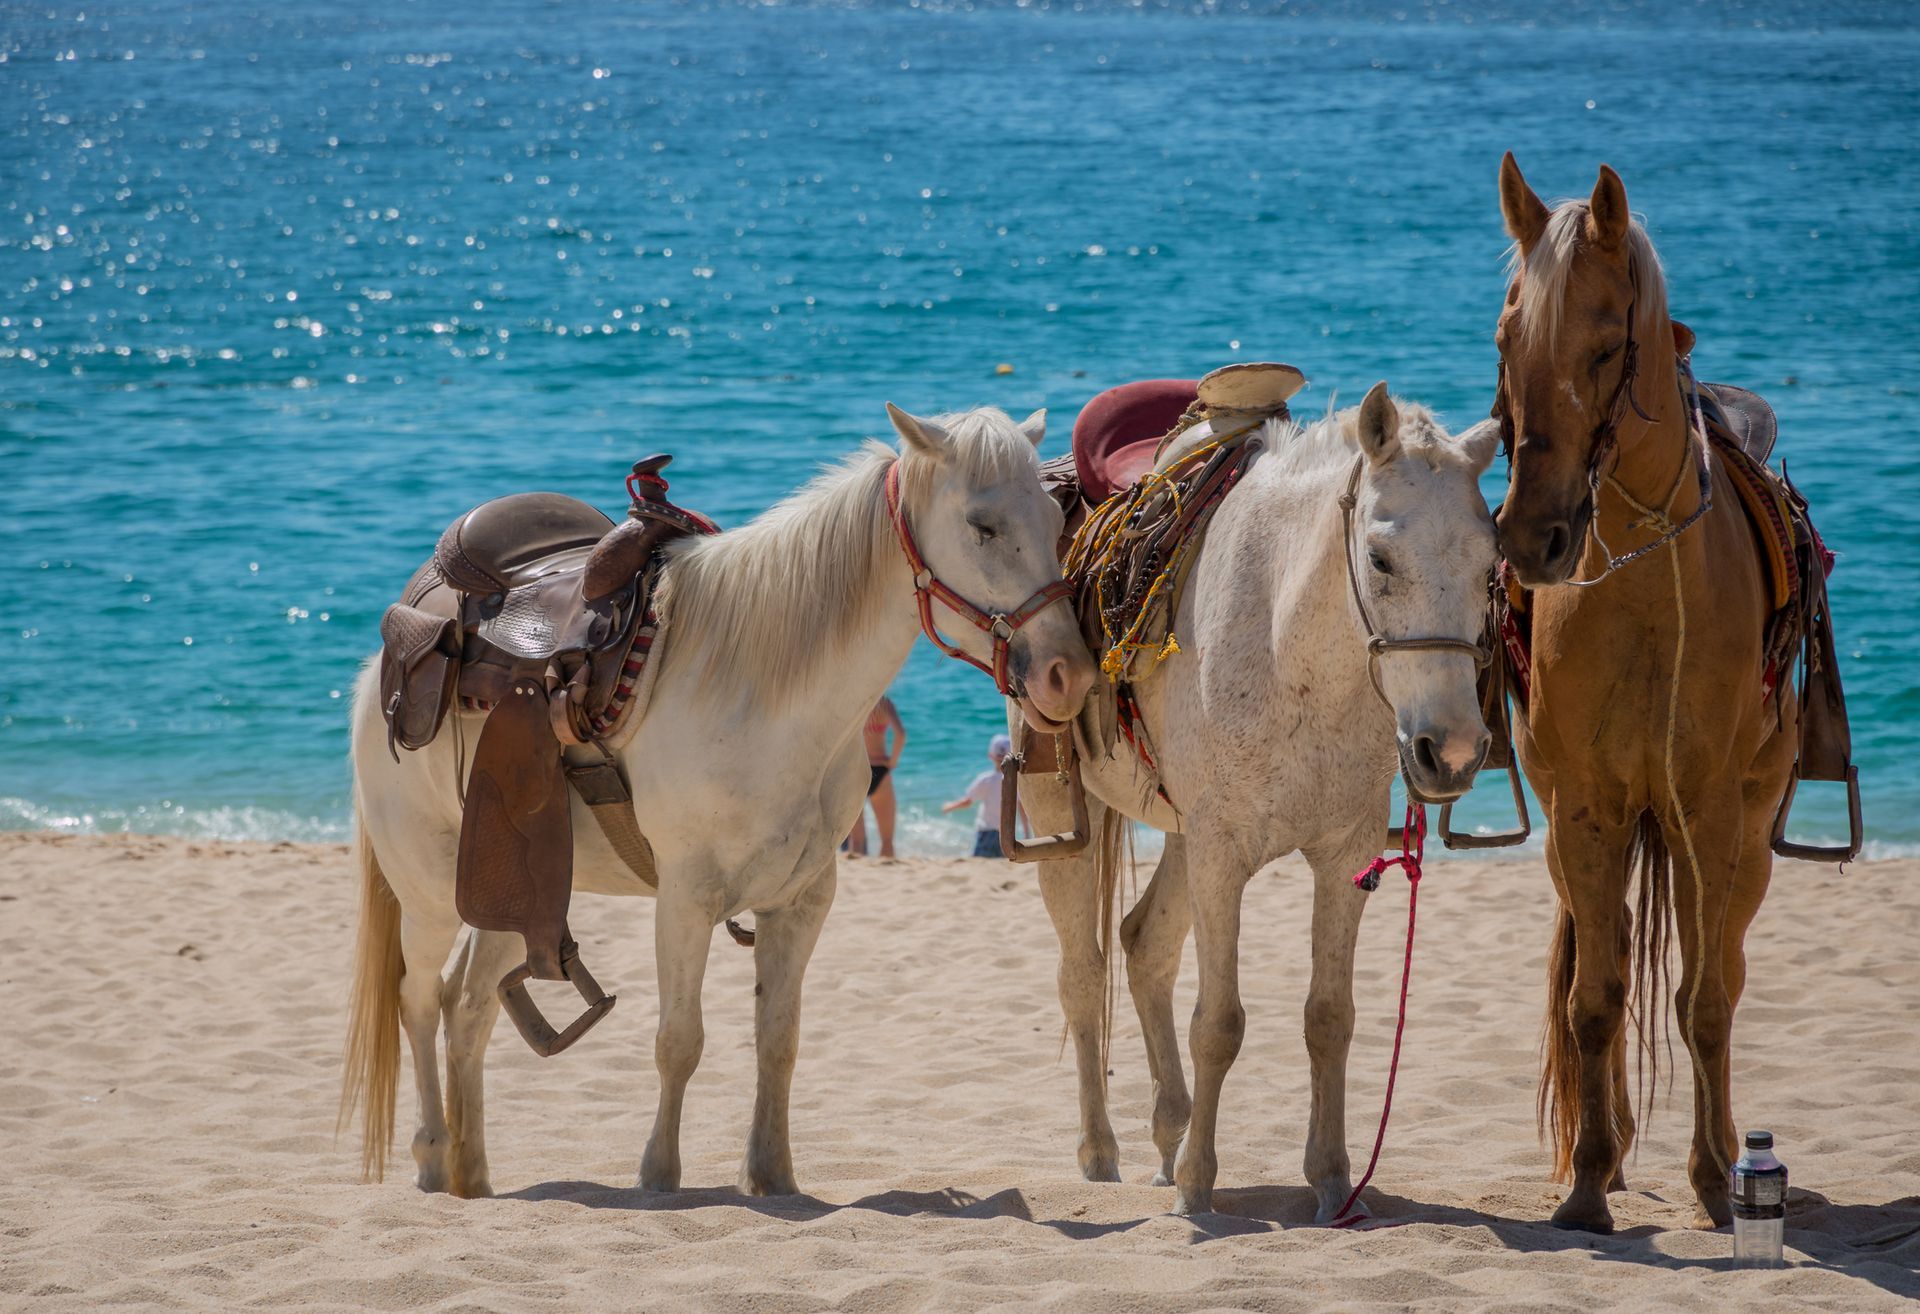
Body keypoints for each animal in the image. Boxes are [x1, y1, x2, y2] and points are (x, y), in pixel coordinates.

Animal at [340, 404, 1097, 1199]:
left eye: (1055, 516)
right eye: (983, 526)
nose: (1067, 674)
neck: (763, 697)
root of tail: (386, 660)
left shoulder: (803, 899)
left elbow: (778, 1041)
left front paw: (772, 1174)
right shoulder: (685, 898)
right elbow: (679, 1041)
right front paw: (659, 1176)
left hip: (511, 892)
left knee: (470, 1007)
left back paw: (473, 1175)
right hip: (428, 892)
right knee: (420, 1000)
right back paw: (431, 1156)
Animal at [1020, 384, 1499, 1220]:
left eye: (1490, 563)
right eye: (1381, 559)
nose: (1454, 751)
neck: (1287, 642)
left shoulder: (1341, 858)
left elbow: (1329, 1019)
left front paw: (1333, 1181)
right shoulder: (1223, 858)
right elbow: (1219, 1023)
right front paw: (1198, 1190)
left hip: (1182, 834)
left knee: (1144, 946)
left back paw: (1165, 1139)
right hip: (1067, 814)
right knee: (1083, 973)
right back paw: (1101, 1154)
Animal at [1493, 155, 1798, 1232]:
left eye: (1607, 343)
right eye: (1506, 339)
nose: (1530, 538)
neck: (1642, 584)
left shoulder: (1705, 813)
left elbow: (1703, 1000)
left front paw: (1715, 1179)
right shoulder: (1586, 810)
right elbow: (1594, 1001)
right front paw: (1589, 1183)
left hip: (1741, 839)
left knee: (1723, 975)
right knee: (1611, 965)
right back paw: (1618, 1149)